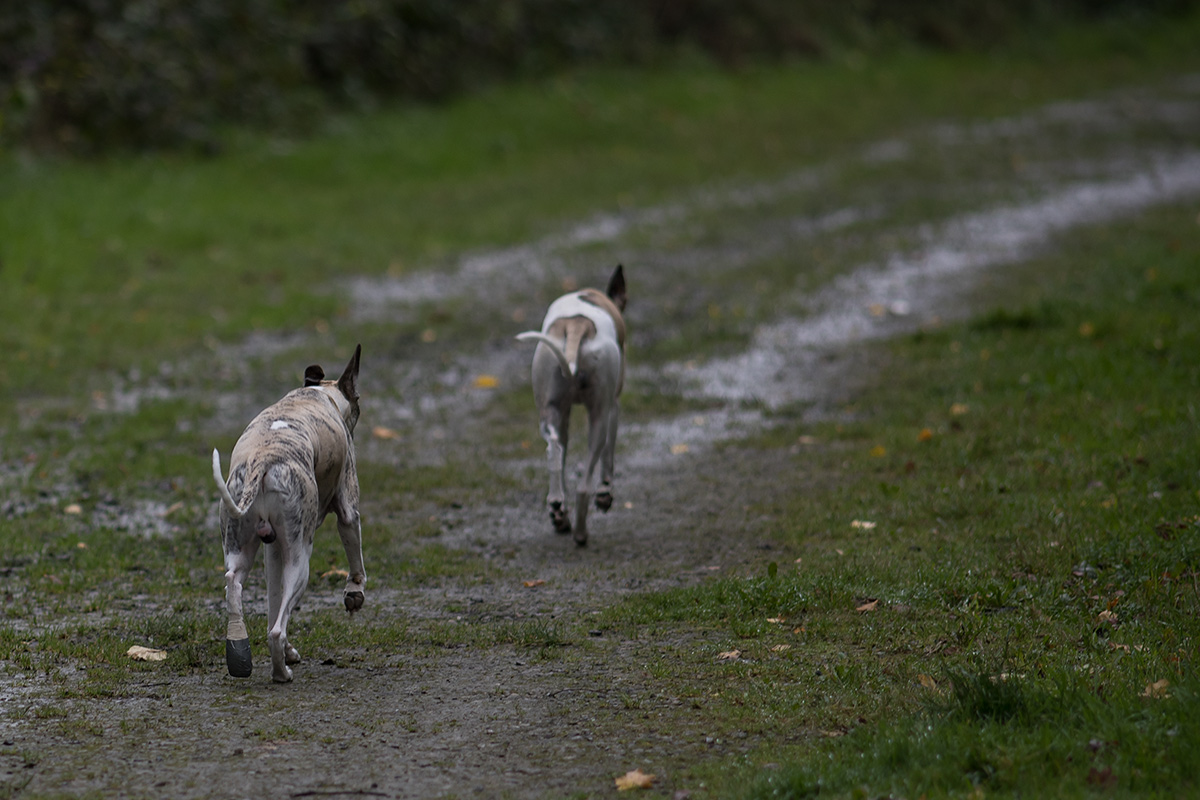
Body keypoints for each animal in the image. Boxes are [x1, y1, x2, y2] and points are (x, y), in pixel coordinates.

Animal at [211, 345, 362, 681]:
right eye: (359, 400)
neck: (318, 394)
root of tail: (261, 461)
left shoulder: (272, 550)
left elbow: (273, 601)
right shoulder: (348, 509)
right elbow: (355, 557)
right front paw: (354, 592)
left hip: (241, 545)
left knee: (234, 584)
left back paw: (241, 653)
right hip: (300, 560)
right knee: (276, 631)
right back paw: (281, 671)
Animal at [516, 266, 628, 546]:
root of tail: (577, 324)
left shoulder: (563, 415)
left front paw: (560, 516)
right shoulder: (613, 408)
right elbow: (609, 458)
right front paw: (605, 494)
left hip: (550, 411)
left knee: (554, 451)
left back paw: (558, 511)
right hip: (599, 416)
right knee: (584, 485)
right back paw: (580, 532)